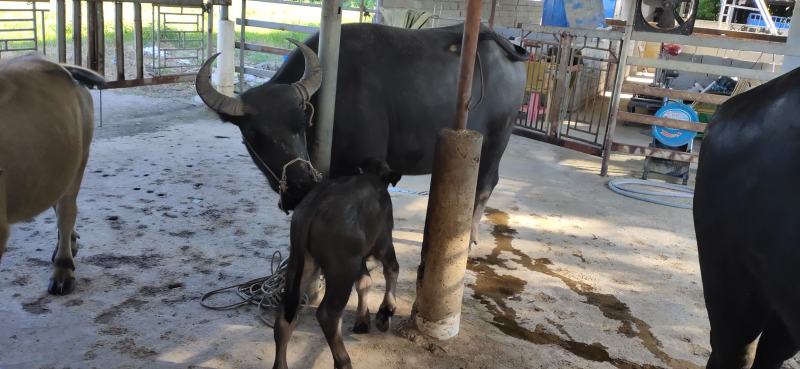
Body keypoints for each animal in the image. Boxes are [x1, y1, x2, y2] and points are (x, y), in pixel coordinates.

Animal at [196, 21, 528, 243]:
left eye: (301, 123)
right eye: (253, 135)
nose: (301, 184)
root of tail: (507, 46)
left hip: (498, 138)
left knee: (486, 184)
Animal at [274, 159, 400, 368]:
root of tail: (312, 209)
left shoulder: (359, 258)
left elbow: (365, 282)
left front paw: (362, 321)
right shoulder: (383, 243)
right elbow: (391, 269)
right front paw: (385, 313)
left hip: (300, 263)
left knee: (285, 316)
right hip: (342, 268)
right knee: (328, 314)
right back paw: (343, 360)